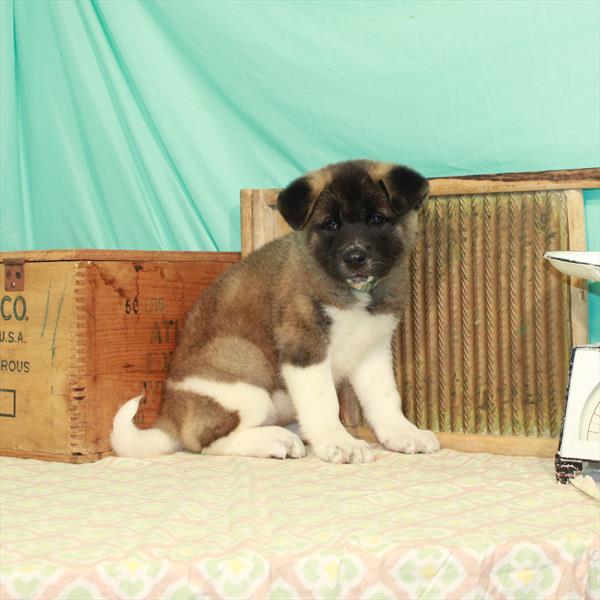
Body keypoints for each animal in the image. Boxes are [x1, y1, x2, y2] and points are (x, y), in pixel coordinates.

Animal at [111, 161, 440, 464]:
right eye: (331, 224)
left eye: (376, 219)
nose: (354, 257)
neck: (354, 292)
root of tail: (169, 417)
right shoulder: (304, 348)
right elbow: (324, 403)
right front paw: (340, 444)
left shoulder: (372, 351)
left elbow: (385, 399)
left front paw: (403, 434)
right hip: (245, 371)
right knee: (204, 442)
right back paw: (276, 441)